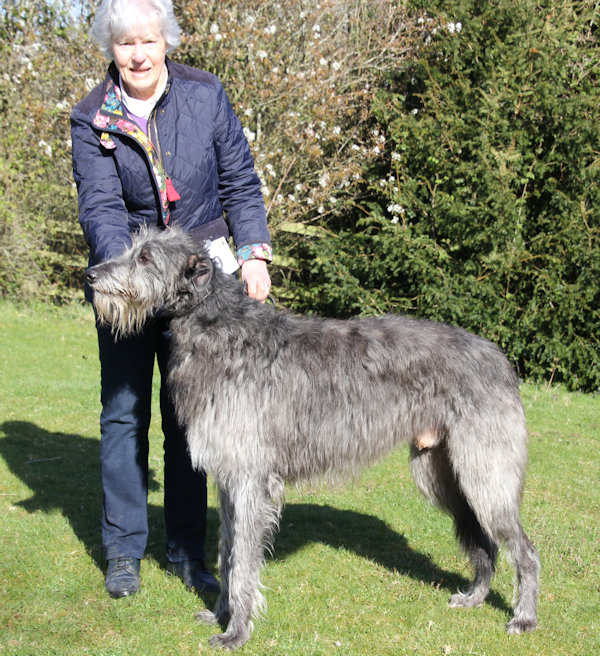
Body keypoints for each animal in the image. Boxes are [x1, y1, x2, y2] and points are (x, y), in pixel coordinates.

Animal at [84, 228, 540, 648]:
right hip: (441, 473)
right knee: (485, 541)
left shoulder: (250, 479)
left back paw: (524, 617)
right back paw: (476, 597)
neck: (221, 332)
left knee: (524, 548)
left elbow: (243, 561)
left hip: (484, 473)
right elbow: (227, 552)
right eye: (132, 247)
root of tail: (500, 358)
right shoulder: (229, 479)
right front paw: (220, 614)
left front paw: (236, 631)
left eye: (145, 257)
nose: (91, 274)